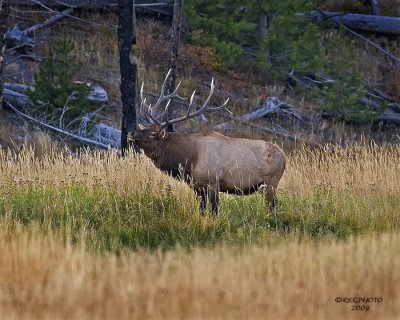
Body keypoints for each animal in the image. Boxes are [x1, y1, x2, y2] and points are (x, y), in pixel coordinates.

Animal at [126, 70, 286, 215]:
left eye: (153, 134)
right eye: (144, 128)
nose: (130, 133)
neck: (189, 160)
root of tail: (284, 157)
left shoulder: (213, 182)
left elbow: (214, 211)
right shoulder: (197, 187)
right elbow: (202, 211)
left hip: (272, 181)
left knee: (273, 207)